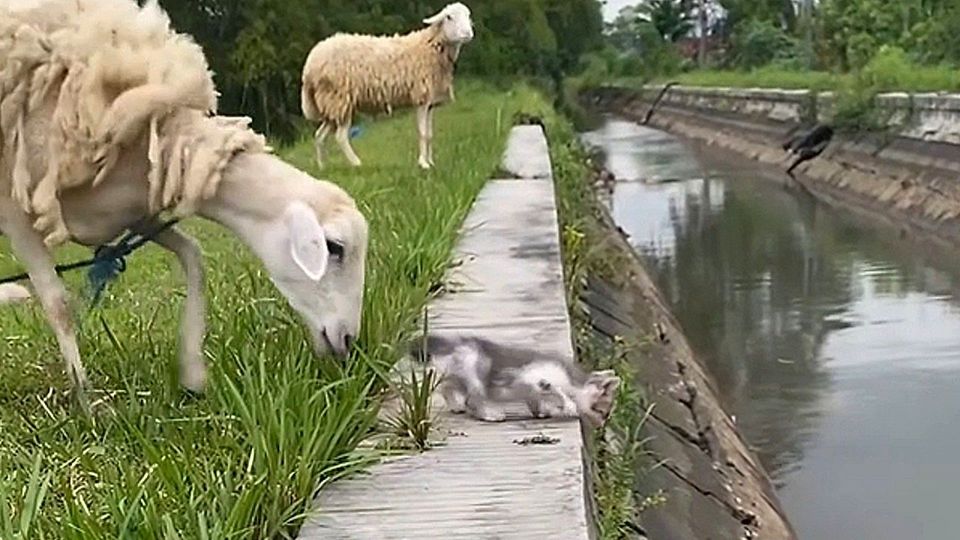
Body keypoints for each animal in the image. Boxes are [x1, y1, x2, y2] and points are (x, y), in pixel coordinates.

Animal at [0, 0, 369, 404]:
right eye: (334, 248)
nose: (349, 341)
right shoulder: (15, 211)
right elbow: (58, 305)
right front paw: (86, 400)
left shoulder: (133, 209)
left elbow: (194, 257)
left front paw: (193, 371)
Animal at [300, 2, 474, 170]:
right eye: (449, 17)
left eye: (468, 15)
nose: (468, 33)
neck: (430, 47)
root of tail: (309, 65)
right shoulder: (421, 98)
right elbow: (423, 133)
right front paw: (423, 164)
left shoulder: (430, 103)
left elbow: (430, 134)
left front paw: (430, 162)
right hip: (339, 97)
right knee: (341, 136)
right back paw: (356, 163)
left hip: (330, 103)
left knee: (319, 135)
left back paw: (322, 166)